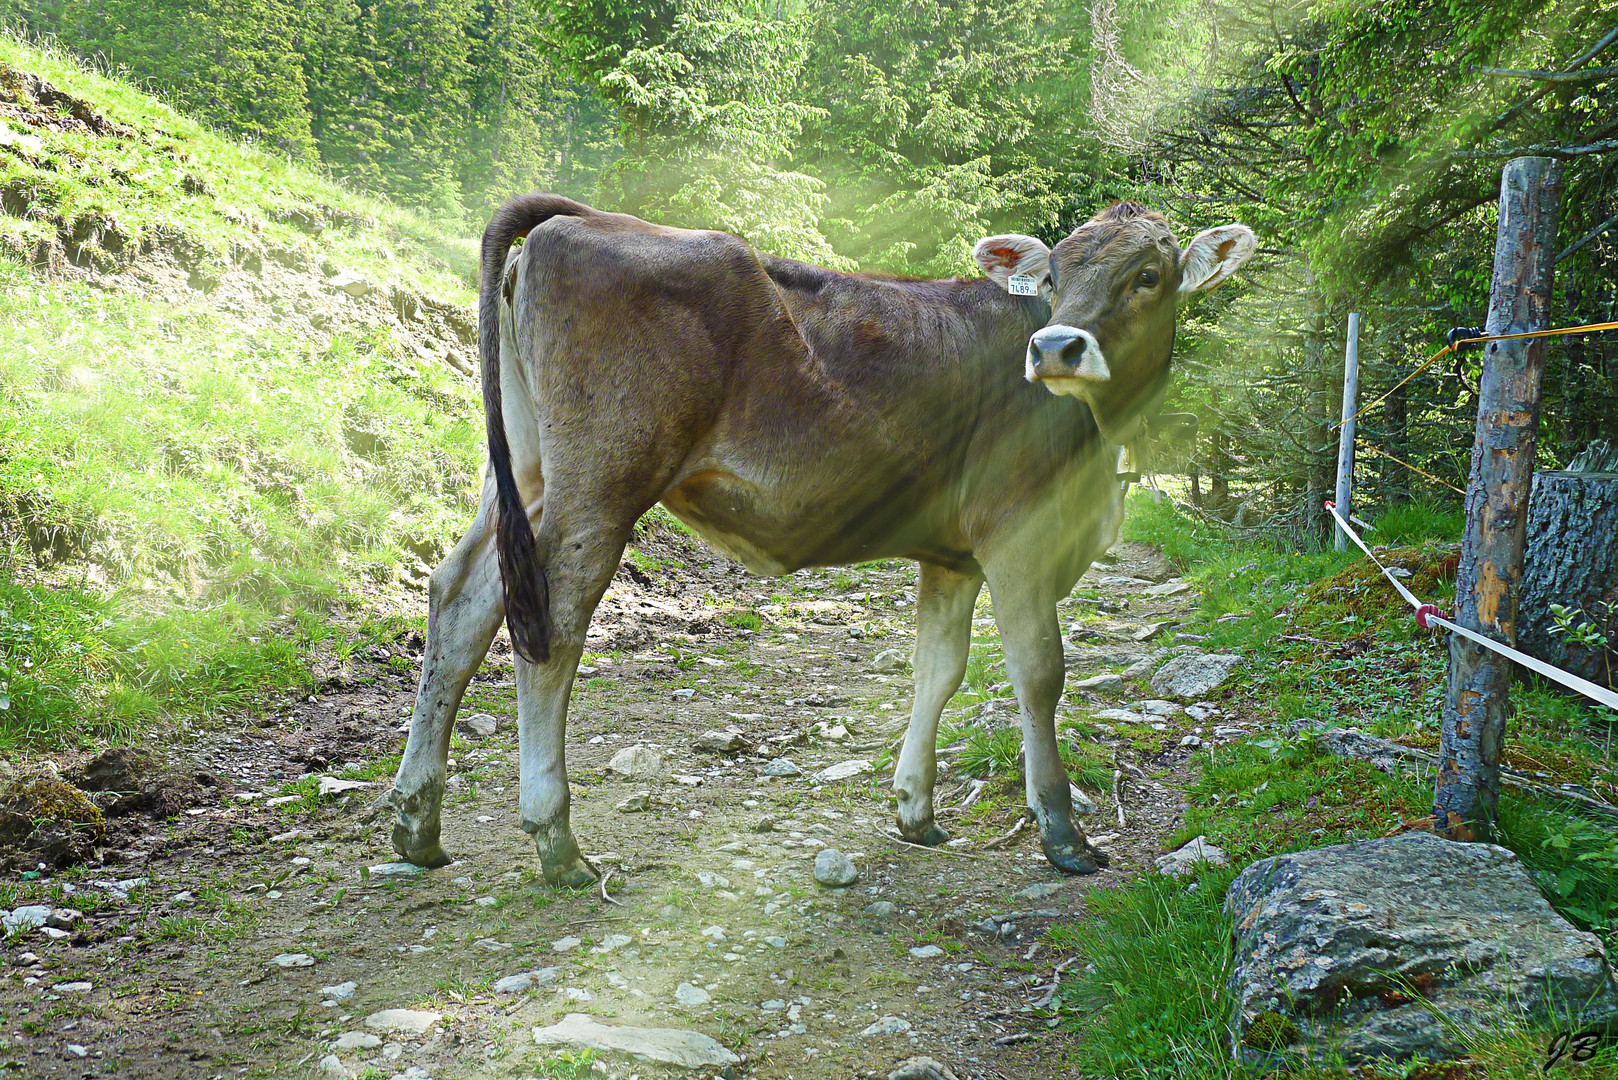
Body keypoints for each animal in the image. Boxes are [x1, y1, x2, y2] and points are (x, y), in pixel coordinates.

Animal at [388, 194, 1249, 887]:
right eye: (1053, 274)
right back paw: (556, 840)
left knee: (461, 598)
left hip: (525, 470)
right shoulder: (1018, 536)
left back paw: (416, 823)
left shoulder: (952, 556)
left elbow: (938, 670)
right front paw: (1064, 835)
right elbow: (1038, 674)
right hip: (600, 481)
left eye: (1148, 276)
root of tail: (582, 217)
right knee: (554, 622)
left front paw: (915, 810)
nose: (1055, 349)